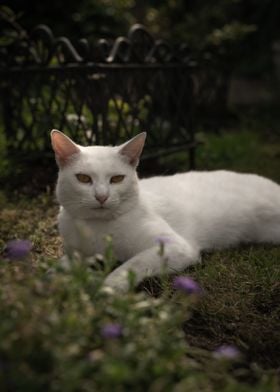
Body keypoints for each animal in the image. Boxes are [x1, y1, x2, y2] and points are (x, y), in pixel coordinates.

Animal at [50, 131, 280, 290]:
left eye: (117, 179)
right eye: (83, 178)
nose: (101, 196)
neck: (97, 229)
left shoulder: (175, 247)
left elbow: (132, 264)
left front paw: (109, 287)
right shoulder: (75, 253)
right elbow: (59, 267)